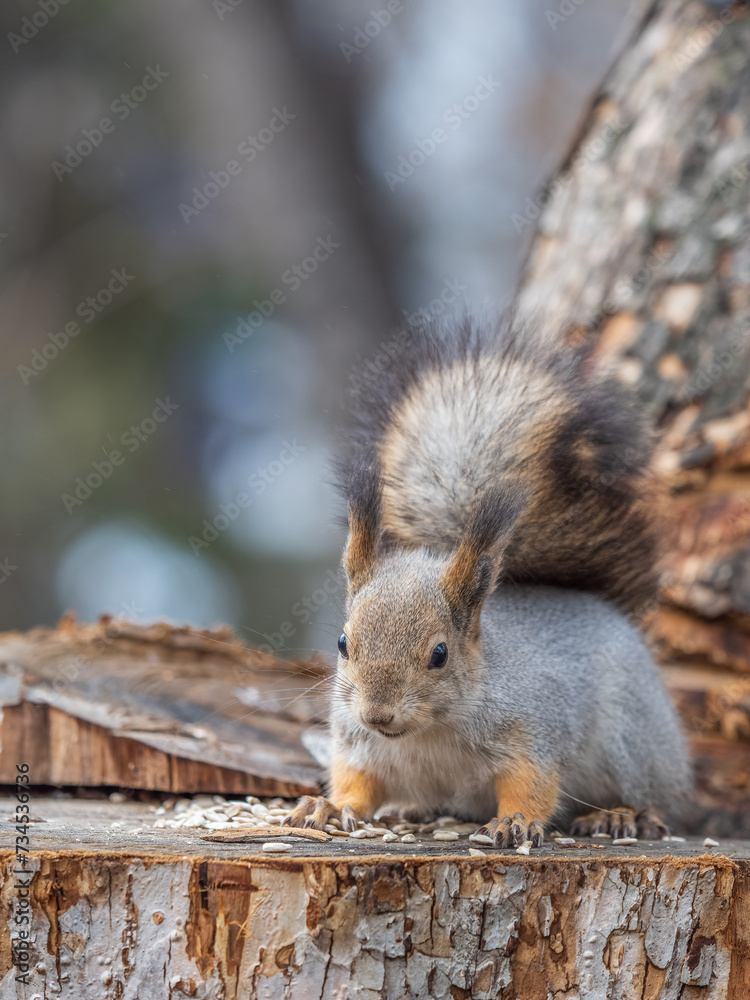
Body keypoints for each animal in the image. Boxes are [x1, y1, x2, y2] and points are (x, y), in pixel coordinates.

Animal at [286, 315, 690, 846]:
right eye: (342, 644)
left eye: (440, 654)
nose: (377, 715)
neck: (428, 732)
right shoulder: (358, 746)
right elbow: (357, 784)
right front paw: (328, 807)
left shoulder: (533, 731)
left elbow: (532, 783)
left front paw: (514, 821)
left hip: (634, 745)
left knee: (655, 796)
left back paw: (621, 815)